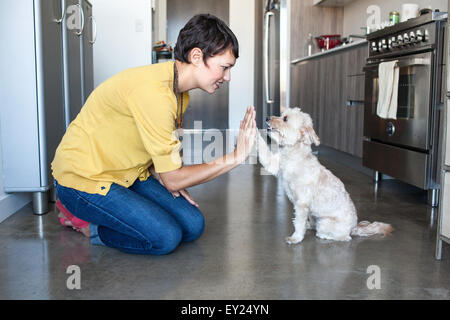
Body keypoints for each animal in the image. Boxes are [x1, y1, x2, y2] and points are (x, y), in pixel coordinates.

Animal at [258, 106, 392, 244]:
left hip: (325, 223)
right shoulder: (274, 164)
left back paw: (324, 235)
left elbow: (299, 223)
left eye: (285, 119)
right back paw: (310, 225)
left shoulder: (302, 204)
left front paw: (296, 238)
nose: (267, 117)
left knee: (344, 237)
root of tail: (353, 227)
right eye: (281, 114)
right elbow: (264, 154)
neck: (295, 153)